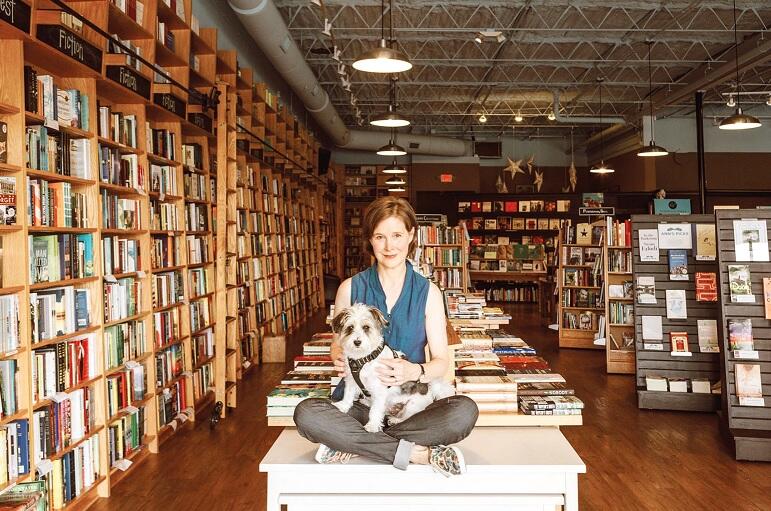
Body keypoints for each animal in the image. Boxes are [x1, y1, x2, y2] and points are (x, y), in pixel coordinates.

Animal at [331, 303, 454, 433]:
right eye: (350, 327)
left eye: (366, 327)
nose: (357, 342)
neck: (364, 358)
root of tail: (430, 389)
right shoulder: (351, 380)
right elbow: (348, 394)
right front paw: (343, 406)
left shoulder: (379, 389)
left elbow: (375, 411)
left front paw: (372, 425)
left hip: (412, 405)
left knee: (409, 416)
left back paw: (396, 420)